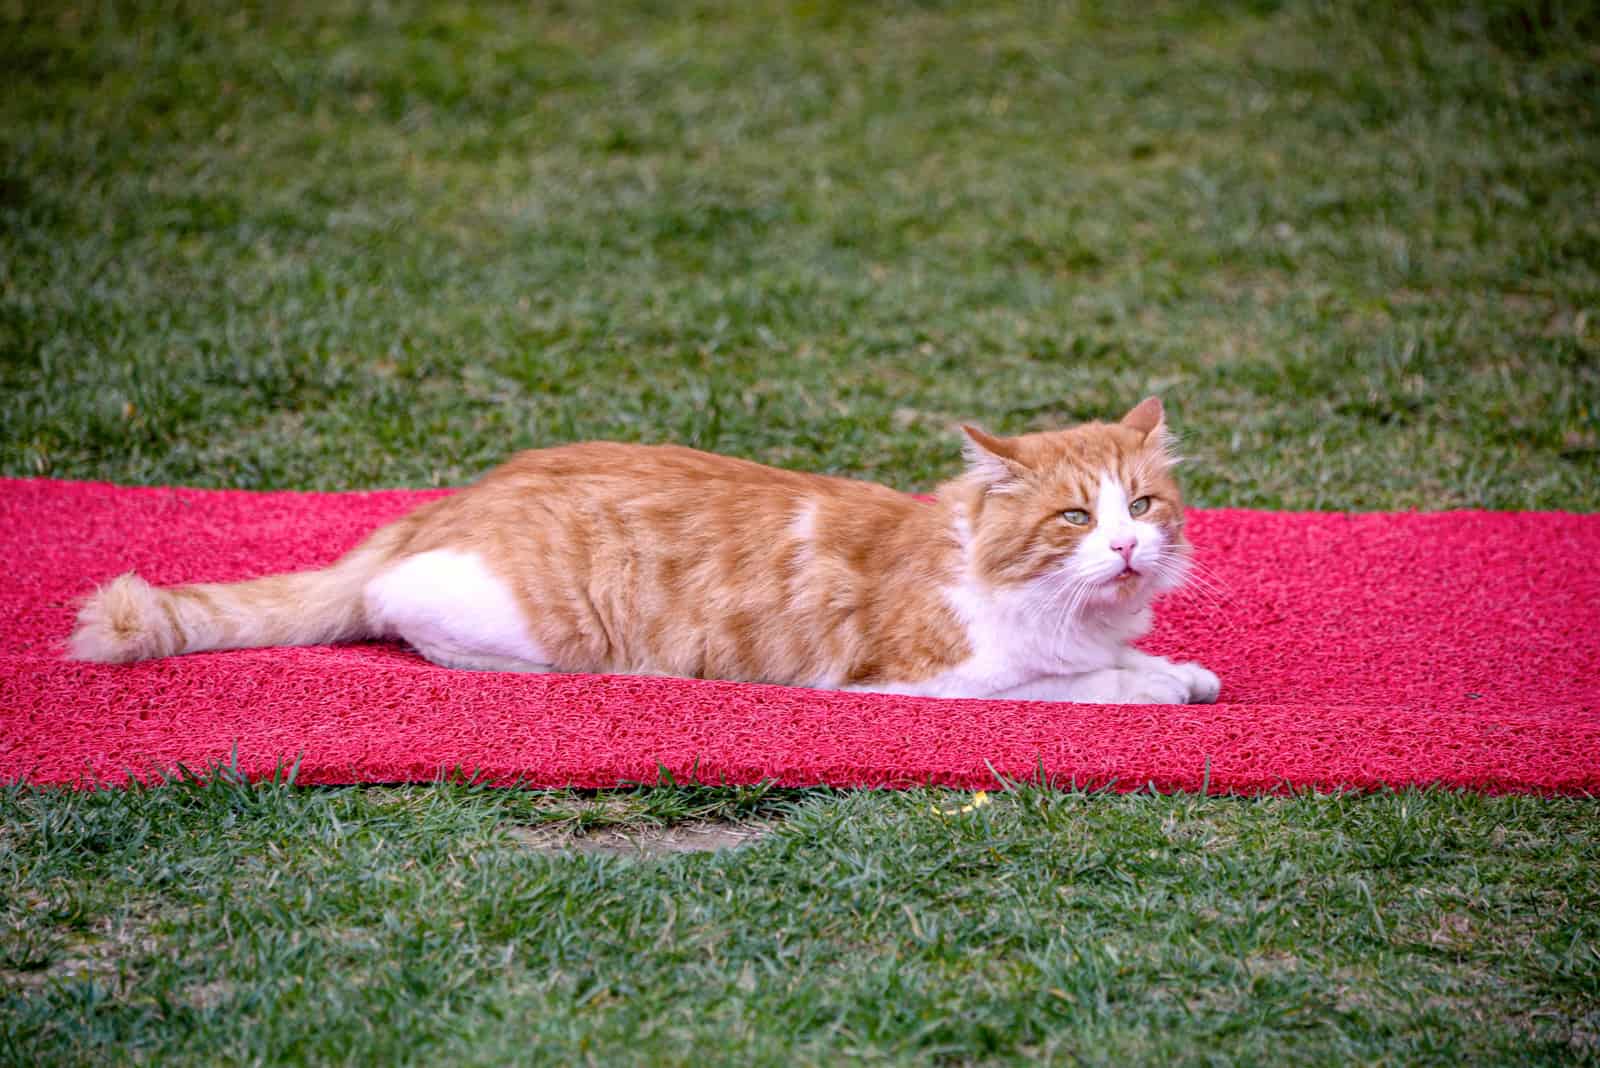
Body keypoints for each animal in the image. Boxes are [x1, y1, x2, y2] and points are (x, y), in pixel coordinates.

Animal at [65, 396, 1222, 703]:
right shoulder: (935, 681)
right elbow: (1078, 688)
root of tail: (441, 505)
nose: (1127, 547)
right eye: (1074, 520)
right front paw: (1154, 685)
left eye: (1142, 505)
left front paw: (1172, 665)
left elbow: (1120, 661)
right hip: (514, 621)